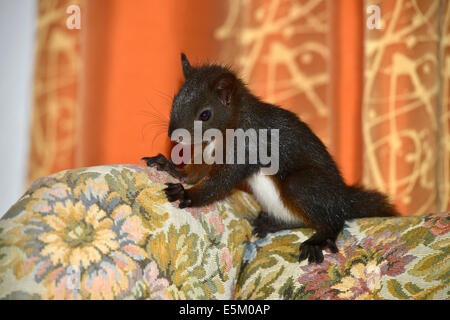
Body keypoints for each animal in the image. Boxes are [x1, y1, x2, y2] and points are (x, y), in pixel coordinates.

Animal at [142, 53, 398, 264]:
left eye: (205, 114)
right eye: (174, 101)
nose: (173, 135)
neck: (225, 130)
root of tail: (344, 199)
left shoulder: (246, 149)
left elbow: (218, 183)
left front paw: (185, 194)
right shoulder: (208, 154)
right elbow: (195, 173)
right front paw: (168, 165)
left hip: (304, 186)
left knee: (334, 219)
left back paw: (318, 239)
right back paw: (267, 223)